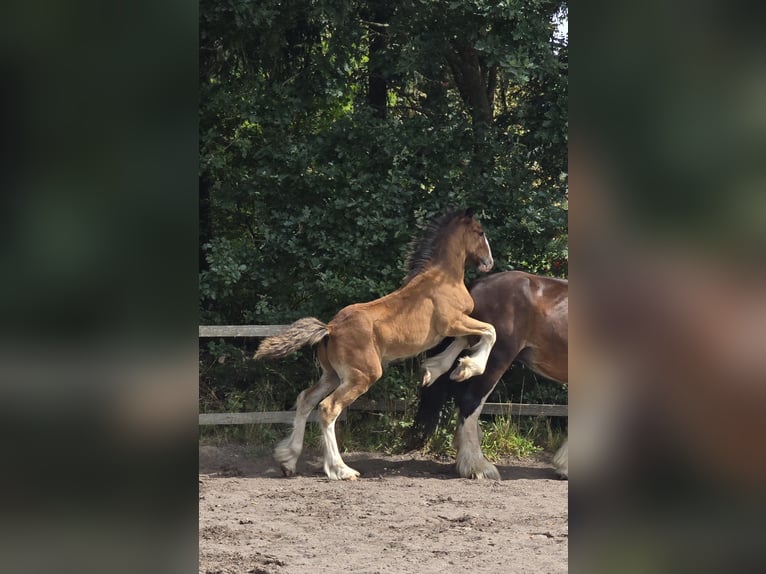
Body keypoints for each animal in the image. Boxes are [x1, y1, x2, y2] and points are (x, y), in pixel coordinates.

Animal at [255, 210, 498, 482]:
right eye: (480, 232)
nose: (489, 262)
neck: (443, 280)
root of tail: (330, 328)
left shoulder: (457, 325)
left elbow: (469, 339)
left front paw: (438, 370)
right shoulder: (453, 322)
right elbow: (490, 331)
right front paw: (468, 367)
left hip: (333, 375)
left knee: (306, 399)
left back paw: (288, 461)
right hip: (362, 376)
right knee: (328, 408)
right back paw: (341, 470)